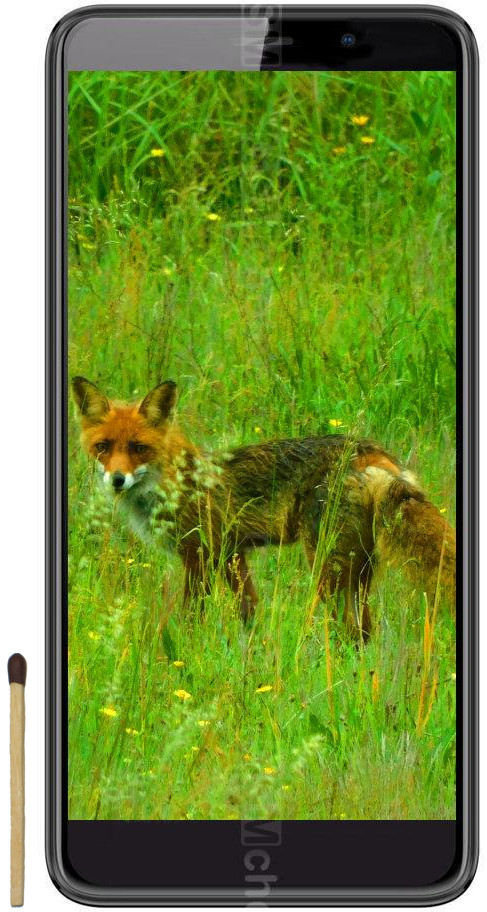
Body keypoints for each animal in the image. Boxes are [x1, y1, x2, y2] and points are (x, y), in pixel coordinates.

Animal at [72, 376, 456, 639]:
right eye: (103, 447)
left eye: (139, 448)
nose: (117, 479)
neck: (174, 482)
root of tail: (372, 451)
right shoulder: (232, 553)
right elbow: (249, 609)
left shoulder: (200, 554)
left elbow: (193, 615)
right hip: (358, 568)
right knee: (363, 630)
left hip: (325, 565)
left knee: (344, 628)